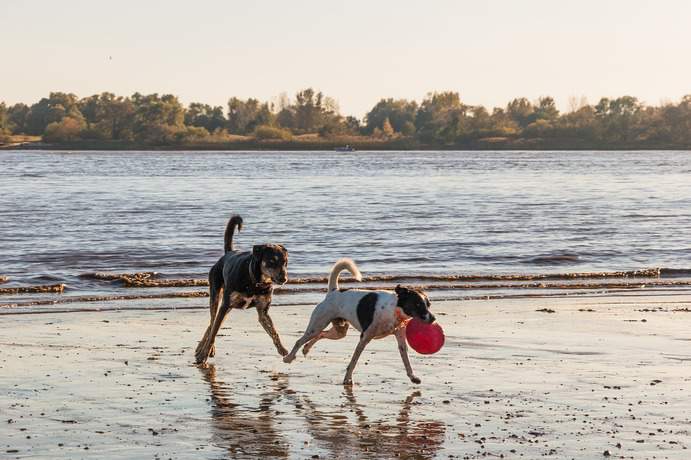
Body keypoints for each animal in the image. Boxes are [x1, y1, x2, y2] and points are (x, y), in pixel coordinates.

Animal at [196, 214, 290, 364]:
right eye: (271, 261)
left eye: (285, 262)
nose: (284, 279)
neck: (255, 282)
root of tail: (228, 253)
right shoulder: (225, 305)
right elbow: (214, 331)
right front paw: (203, 355)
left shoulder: (263, 311)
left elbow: (273, 331)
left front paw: (282, 349)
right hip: (217, 296)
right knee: (212, 321)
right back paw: (204, 349)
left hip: (227, 305)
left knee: (212, 323)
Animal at [284, 258, 436, 384]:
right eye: (418, 304)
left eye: (428, 305)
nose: (434, 319)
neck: (393, 310)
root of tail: (334, 292)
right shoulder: (364, 338)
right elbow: (353, 361)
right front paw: (347, 379)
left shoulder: (400, 338)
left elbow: (406, 360)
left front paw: (412, 376)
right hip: (317, 325)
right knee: (300, 340)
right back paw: (289, 357)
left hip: (339, 331)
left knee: (321, 334)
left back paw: (306, 349)